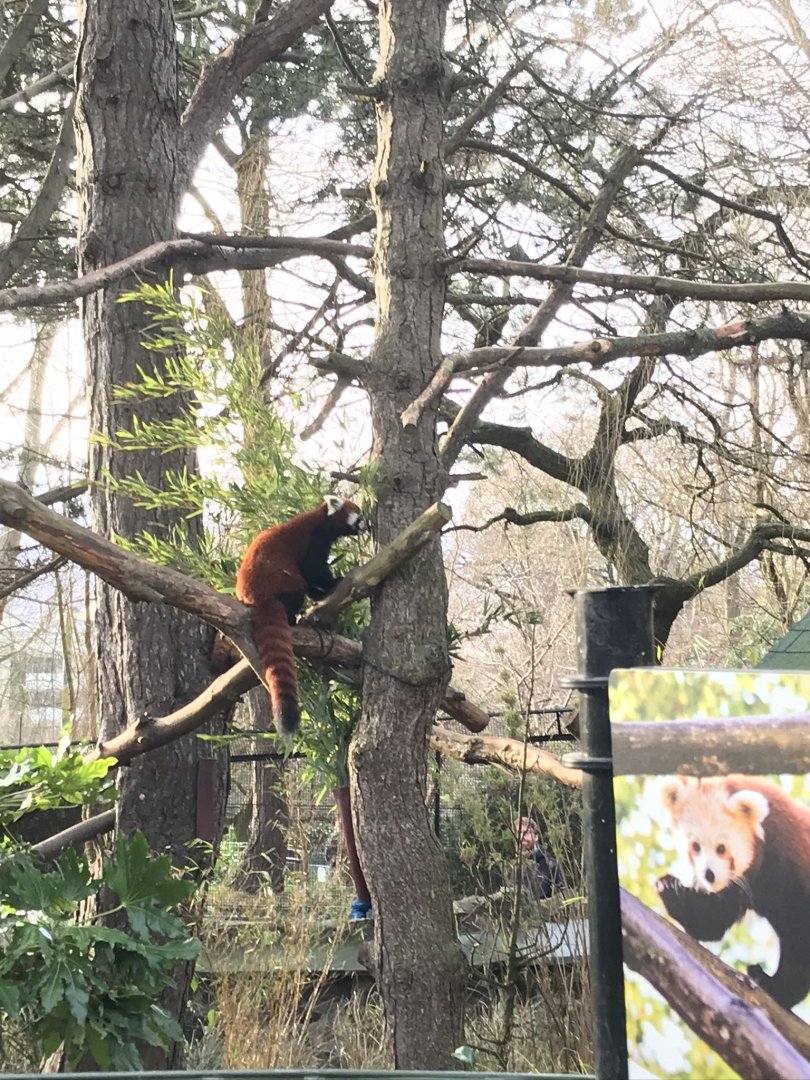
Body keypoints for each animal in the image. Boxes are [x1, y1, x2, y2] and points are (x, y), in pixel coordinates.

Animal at [655, 773, 810, 1010]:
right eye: (695, 846)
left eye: (721, 848)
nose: (708, 875)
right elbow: (710, 923)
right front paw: (673, 889)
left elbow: (800, 943)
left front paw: (778, 988)